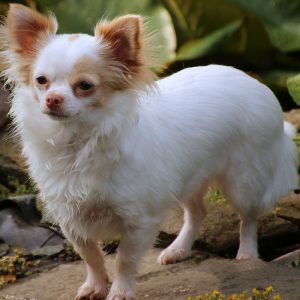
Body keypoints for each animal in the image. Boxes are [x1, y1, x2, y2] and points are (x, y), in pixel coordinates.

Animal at [1, 4, 298, 300]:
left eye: (84, 85)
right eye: (41, 81)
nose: (53, 99)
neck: (76, 142)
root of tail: (253, 80)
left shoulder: (139, 220)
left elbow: (123, 260)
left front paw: (120, 291)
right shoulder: (70, 218)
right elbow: (91, 256)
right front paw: (95, 286)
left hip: (243, 182)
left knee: (248, 218)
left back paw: (247, 255)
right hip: (186, 178)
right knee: (197, 213)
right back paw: (178, 249)